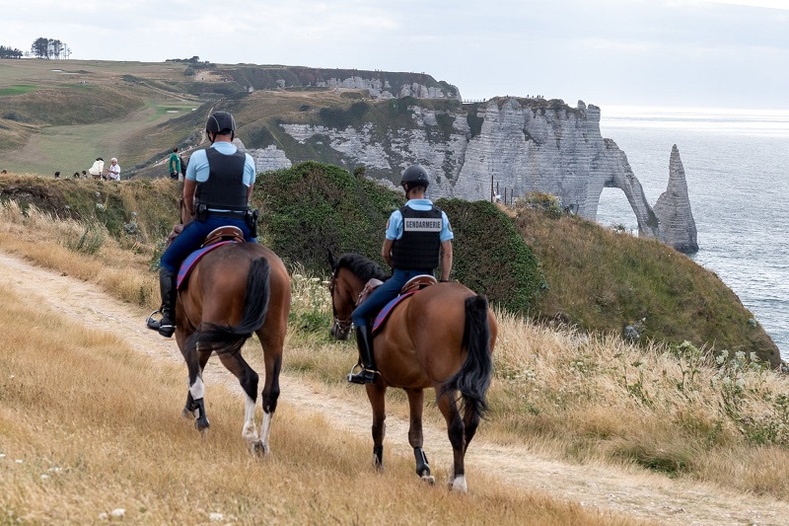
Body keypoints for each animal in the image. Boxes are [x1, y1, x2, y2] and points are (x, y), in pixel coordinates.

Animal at [165, 201, 291, 454]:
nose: (177, 228)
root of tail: (257, 260)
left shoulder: (185, 332)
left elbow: (195, 373)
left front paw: (200, 419)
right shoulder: (203, 338)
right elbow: (199, 367)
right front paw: (191, 410)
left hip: (223, 341)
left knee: (249, 378)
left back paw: (250, 433)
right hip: (273, 338)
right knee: (271, 390)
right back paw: (262, 444)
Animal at [327, 251, 497, 492]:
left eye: (331, 287)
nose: (337, 330)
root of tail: (468, 299)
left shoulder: (375, 385)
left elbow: (378, 425)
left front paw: (377, 464)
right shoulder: (415, 389)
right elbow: (416, 433)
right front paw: (424, 470)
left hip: (443, 387)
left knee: (456, 428)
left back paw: (458, 482)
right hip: (469, 387)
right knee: (469, 426)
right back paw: (452, 476)